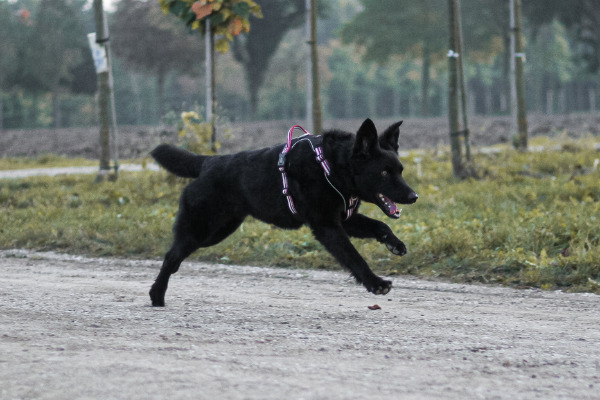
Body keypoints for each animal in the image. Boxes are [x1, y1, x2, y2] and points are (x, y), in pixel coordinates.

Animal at [150, 119, 418, 306]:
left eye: (400, 170)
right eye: (384, 173)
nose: (414, 197)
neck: (332, 168)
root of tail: (208, 162)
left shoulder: (345, 220)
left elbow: (381, 226)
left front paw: (395, 244)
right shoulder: (327, 227)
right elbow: (354, 257)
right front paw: (376, 282)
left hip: (218, 231)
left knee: (174, 256)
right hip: (202, 231)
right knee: (171, 257)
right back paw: (156, 295)